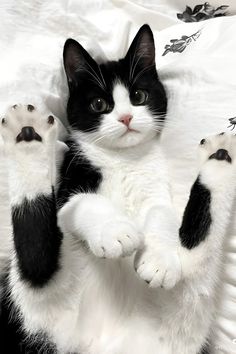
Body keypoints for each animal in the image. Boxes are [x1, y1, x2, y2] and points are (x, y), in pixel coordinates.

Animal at [0, 25, 235, 354]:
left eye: (138, 96)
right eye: (99, 104)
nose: (126, 118)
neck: (123, 158)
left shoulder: (155, 189)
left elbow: (161, 214)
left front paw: (159, 259)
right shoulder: (70, 186)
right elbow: (86, 203)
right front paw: (117, 232)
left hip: (186, 317)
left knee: (197, 260)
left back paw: (220, 156)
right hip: (38, 304)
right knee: (36, 263)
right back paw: (27, 133)